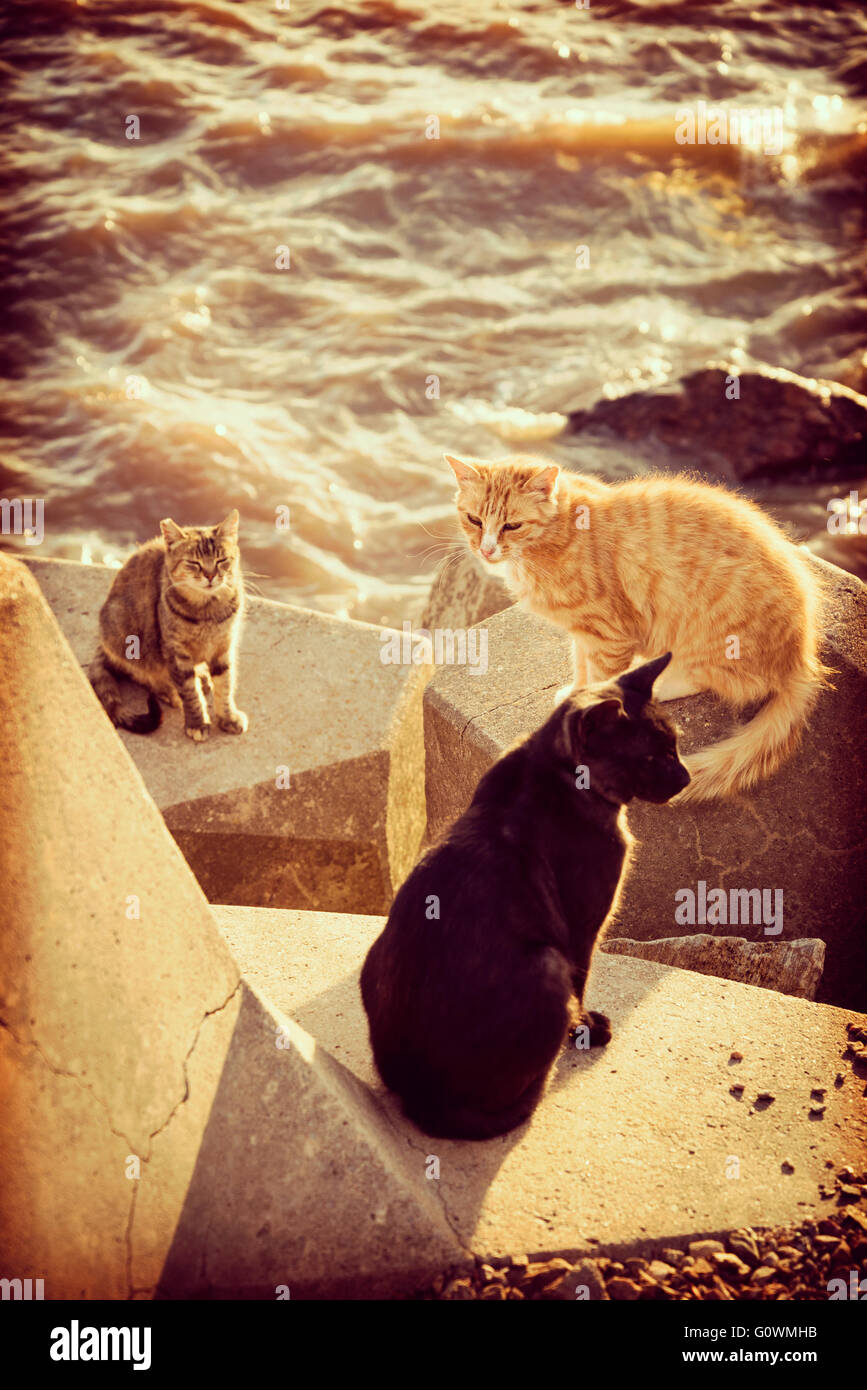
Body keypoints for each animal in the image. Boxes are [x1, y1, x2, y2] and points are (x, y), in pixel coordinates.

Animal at [88, 511, 247, 745]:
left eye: (221, 560)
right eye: (194, 563)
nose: (210, 575)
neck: (208, 611)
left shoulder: (224, 647)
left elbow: (225, 685)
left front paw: (227, 718)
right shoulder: (175, 652)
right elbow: (190, 693)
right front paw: (197, 723)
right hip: (127, 639)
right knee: (147, 677)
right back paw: (170, 692)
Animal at [358, 650, 691, 1139]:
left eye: (676, 745)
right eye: (652, 756)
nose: (685, 777)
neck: (549, 770)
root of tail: (422, 1099)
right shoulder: (583, 929)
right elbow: (583, 982)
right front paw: (585, 1028)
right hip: (547, 963)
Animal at [450, 453, 828, 806]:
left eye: (512, 525)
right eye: (474, 520)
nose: (486, 549)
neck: (557, 534)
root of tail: (802, 659)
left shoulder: (608, 635)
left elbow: (598, 680)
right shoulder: (584, 634)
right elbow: (581, 668)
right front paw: (575, 695)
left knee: (720, 680)